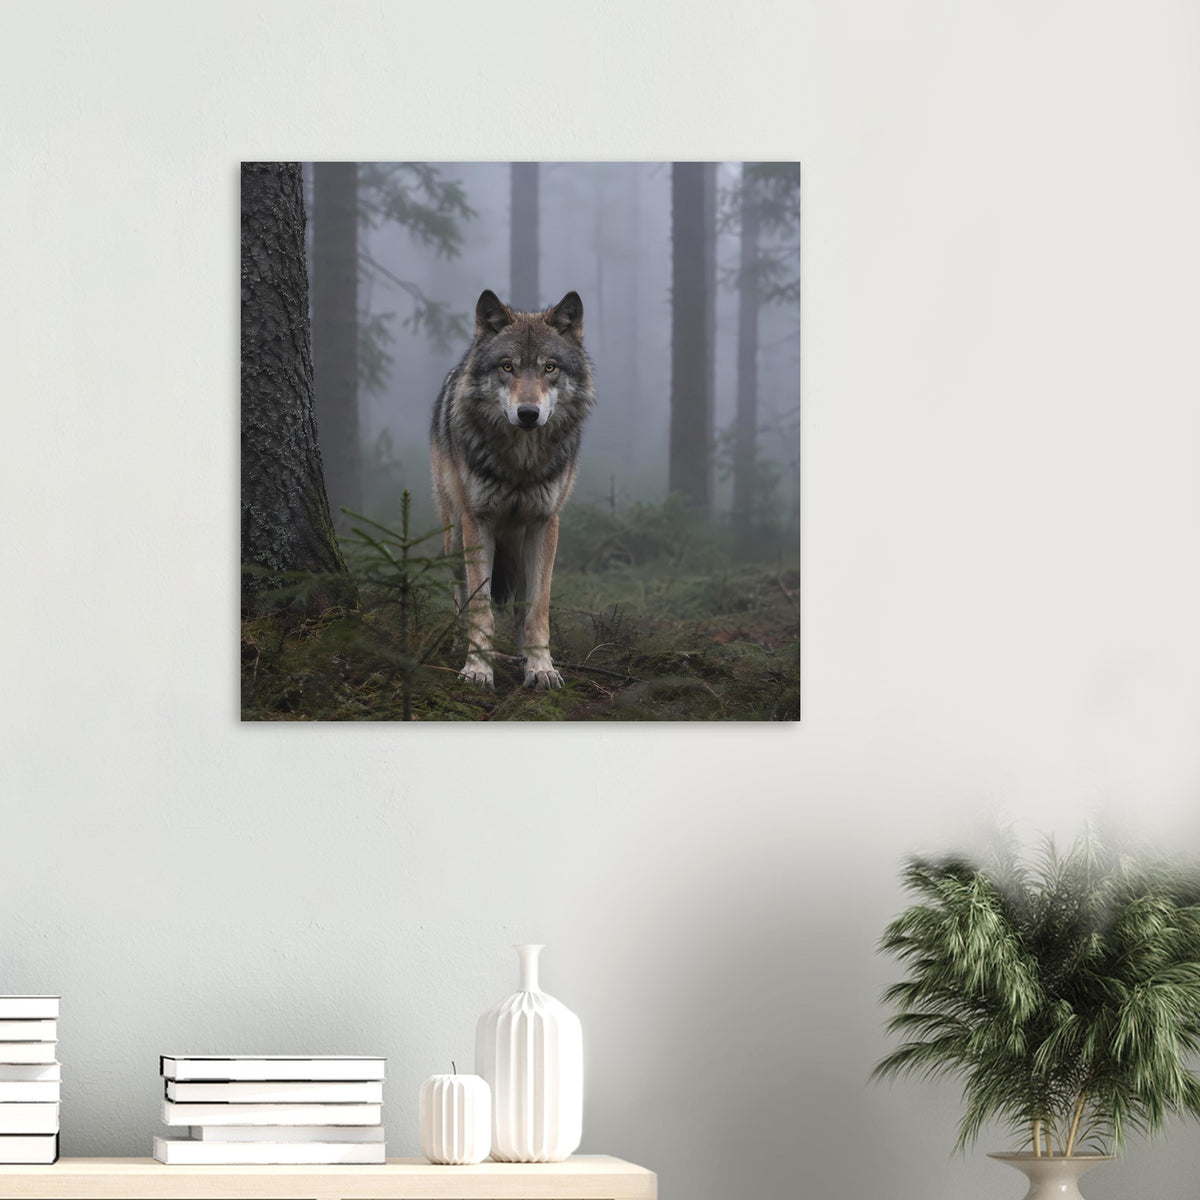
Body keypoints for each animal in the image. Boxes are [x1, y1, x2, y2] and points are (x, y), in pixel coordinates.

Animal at [431, 288, 594, 690]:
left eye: (549, 368)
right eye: (507, 367)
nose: (528, 414)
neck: (521, 464)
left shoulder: (545, 523)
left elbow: (538, 609)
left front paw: (541, 666)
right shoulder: (478, 521)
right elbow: (481, 607)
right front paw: (477, 668)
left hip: (519, 545)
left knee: (521, 603)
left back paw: (522, 655)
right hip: (454, 535)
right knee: (459, 594)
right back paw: (455, 642)